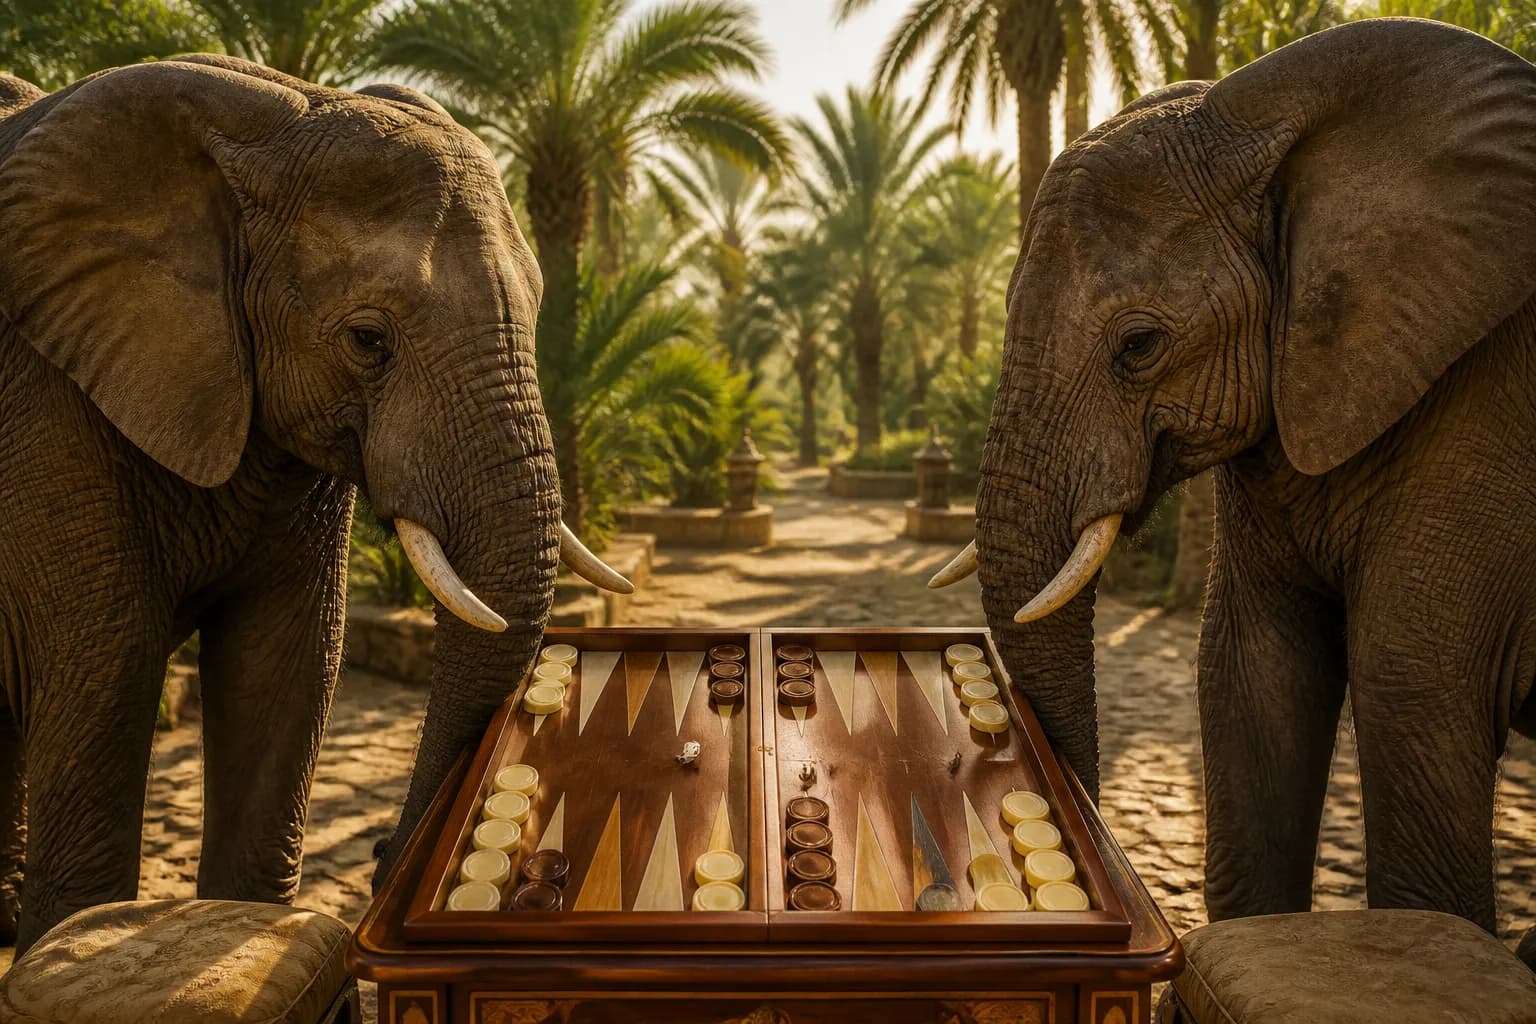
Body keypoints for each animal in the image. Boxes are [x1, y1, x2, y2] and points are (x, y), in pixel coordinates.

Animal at [0, 56, 631, 952]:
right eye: (367, 340)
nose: (380, 857)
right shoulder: (48, 398)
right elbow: (108, 663)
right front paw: (76, 939)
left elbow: (288, 659)